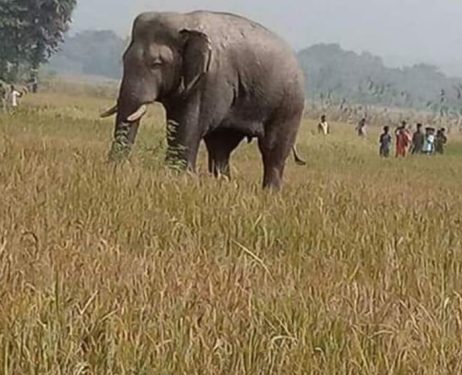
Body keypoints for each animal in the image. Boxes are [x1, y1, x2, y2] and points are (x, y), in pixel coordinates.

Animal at [101, 10, 306, 189]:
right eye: (123, 59)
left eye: (157, 63)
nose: (118, 168)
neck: (185, 21)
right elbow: (178, 125)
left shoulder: (209, 80)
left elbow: (189, 125)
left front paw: (178, 179)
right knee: (220, 146)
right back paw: (223, 184)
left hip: (290, 105)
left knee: (272, 149)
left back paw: (269, 192)